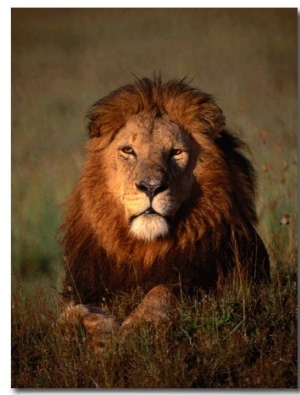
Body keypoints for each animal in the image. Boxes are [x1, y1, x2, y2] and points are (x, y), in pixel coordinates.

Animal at [58, 76, 270, 350]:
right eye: (128, 151)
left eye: (176, 152)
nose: (151, 187)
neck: (144, 249)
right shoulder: (81, 287)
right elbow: (69, 314)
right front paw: (103, 334)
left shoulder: (214, 284)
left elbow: (162, 292)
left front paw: (137, 330)